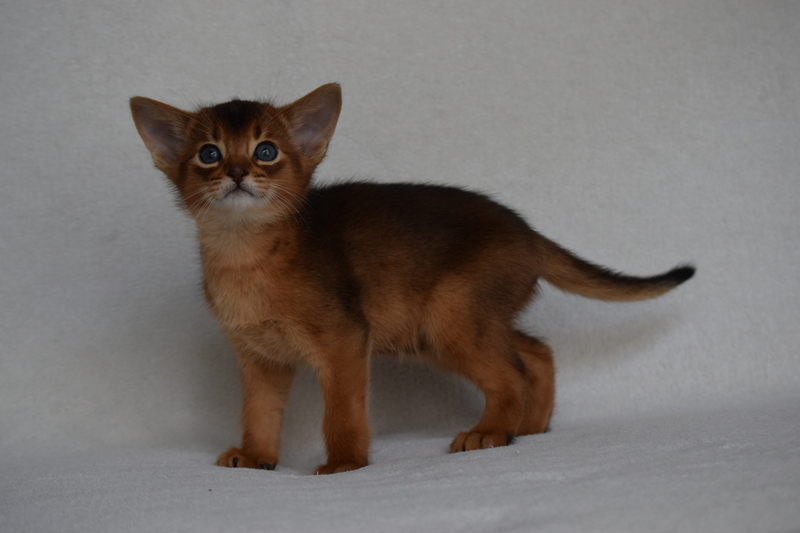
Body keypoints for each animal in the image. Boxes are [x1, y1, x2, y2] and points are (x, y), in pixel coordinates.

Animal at [130, 83, 694, 474]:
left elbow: (342, 412)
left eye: (265, 150)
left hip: (450, 318)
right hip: (452, 325)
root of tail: (528, 232)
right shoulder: (259, 358)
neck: (245, 254)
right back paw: (530, 429)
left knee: (512, 372)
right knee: (536, 352)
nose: (238, 172)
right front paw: (256, 458)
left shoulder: (345, 340)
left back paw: (492, 432)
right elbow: (258, 411)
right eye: (209, 154)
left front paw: (344, 464)